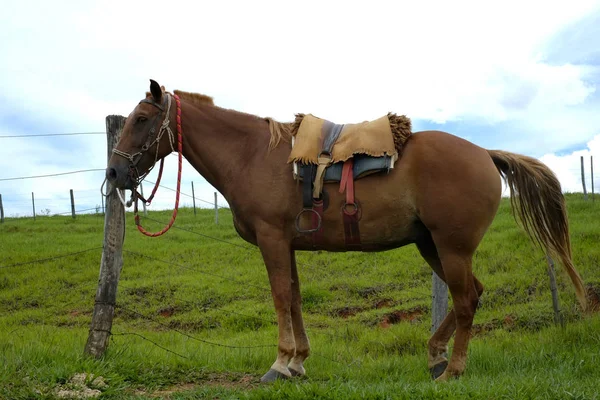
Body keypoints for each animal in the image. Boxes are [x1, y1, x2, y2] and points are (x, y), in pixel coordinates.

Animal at [105, 78, 588, 382]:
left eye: (143, 119)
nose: (114, 173)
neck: (252, 155)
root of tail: (485, 153)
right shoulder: (288, 243)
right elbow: (294, 297)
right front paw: (298, 363)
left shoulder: (272, 239)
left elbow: (279, 297)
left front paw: (279, 364)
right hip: (433, 245)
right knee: (474, 293)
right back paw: (435, 355)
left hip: (451, 247)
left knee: (467, 299)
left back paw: (453, 369)